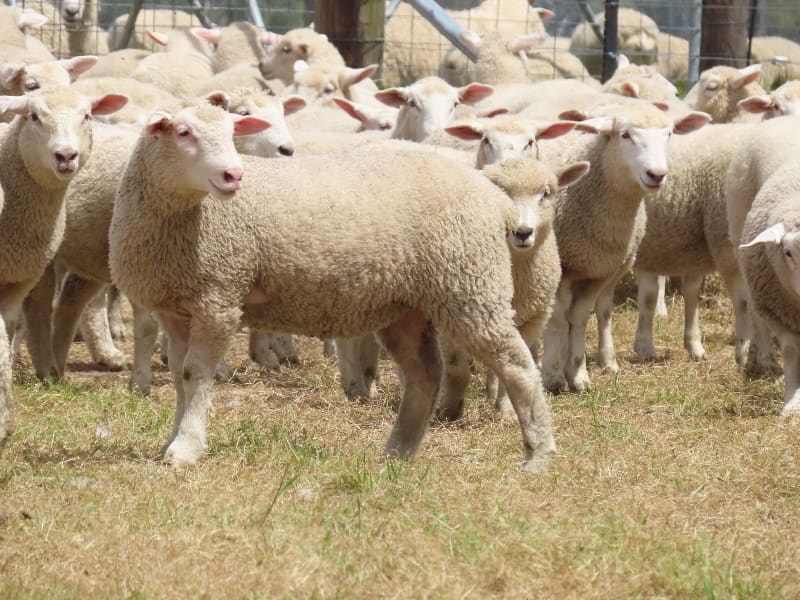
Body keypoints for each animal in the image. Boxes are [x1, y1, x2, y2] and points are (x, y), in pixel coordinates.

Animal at [108, 100, 557, 473]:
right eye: (183, 132)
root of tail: (494, 197)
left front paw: (185, 449)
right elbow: (180, 377)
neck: (186, 218)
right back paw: (397, 454)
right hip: (408, 306)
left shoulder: (218, 296)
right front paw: (172, 441)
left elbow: (195, 375)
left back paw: (538, 455)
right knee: (425, 376)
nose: (233, 175)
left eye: (233, 133)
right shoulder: (177, 306)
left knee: (517, 365)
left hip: (469, 286)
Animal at [538, 100, 710, 392]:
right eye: (625, 135)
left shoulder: (599, 272)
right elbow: (558, 317)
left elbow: (580, 316)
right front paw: (552, 375)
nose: (657, 175)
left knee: (602, 311)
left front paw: (578, 374)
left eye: (669, 134)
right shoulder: (560, 268)